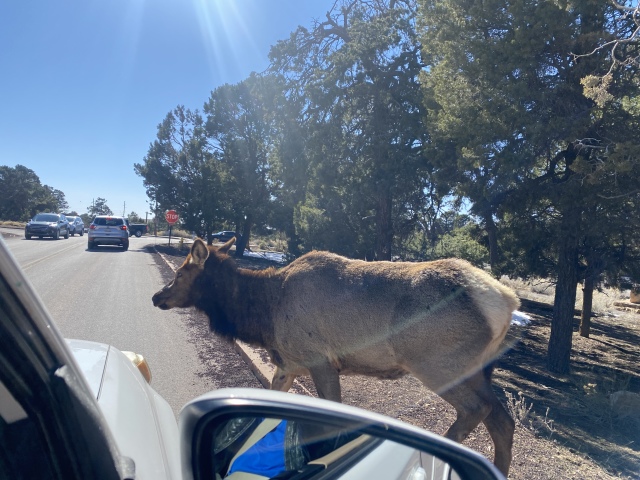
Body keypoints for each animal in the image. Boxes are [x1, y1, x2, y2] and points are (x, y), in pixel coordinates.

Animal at [152, 238, 519, 476]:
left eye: (182, 272)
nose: (157, 296)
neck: (264, 315)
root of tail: (507, 301)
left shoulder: (320, 360)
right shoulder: (288, 364)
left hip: (437, 363)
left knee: (477, 409)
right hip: (478, 370)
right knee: (502, 419)